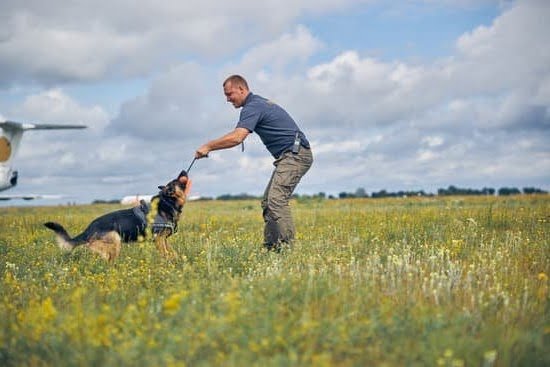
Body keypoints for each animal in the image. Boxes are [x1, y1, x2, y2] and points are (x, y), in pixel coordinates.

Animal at [44, 170, 193, 262]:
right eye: (177, 180)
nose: (183, 171)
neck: (167, 202)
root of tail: (88, 230)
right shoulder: (159, 239)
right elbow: (166, 254)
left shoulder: (163, 240)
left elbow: (172, 252)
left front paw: (178, 259)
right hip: (116, 240)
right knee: (109, 260)